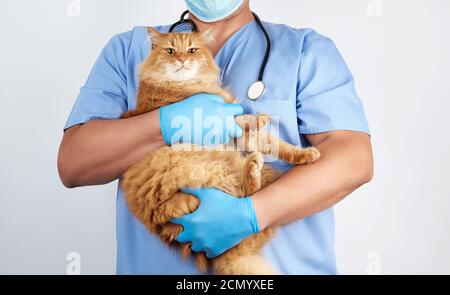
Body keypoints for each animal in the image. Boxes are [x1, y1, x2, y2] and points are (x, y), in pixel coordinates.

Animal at [119, 27, 320, 276]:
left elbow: (277, 144)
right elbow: (240, 121)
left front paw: (305, 154)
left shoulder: (244, 135)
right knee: (247, 193)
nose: (182, 60)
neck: (187, 85)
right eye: (170, 51)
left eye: (192, 50)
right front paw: (259, 118)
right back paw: (251, 169)